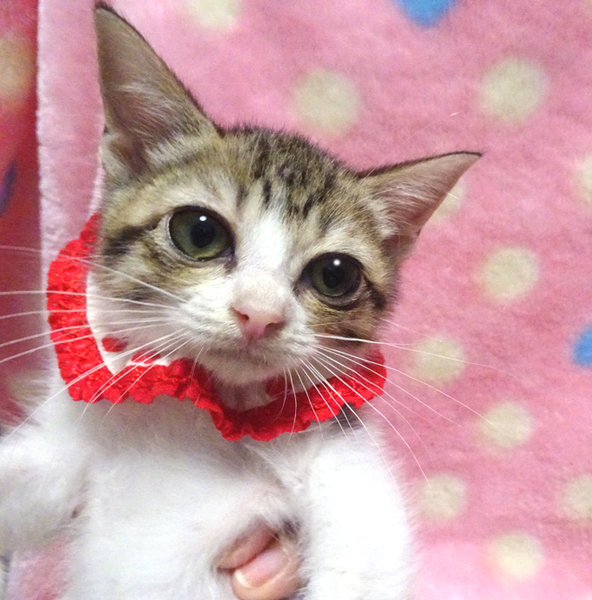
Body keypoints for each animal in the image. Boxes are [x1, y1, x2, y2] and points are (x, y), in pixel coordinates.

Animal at [0, 4, 478, 599]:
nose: (260, 314)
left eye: (335, 275)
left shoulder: (345, 463)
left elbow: (365, 555)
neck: (200, 412)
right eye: (199, 232)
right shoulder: (66, 456)